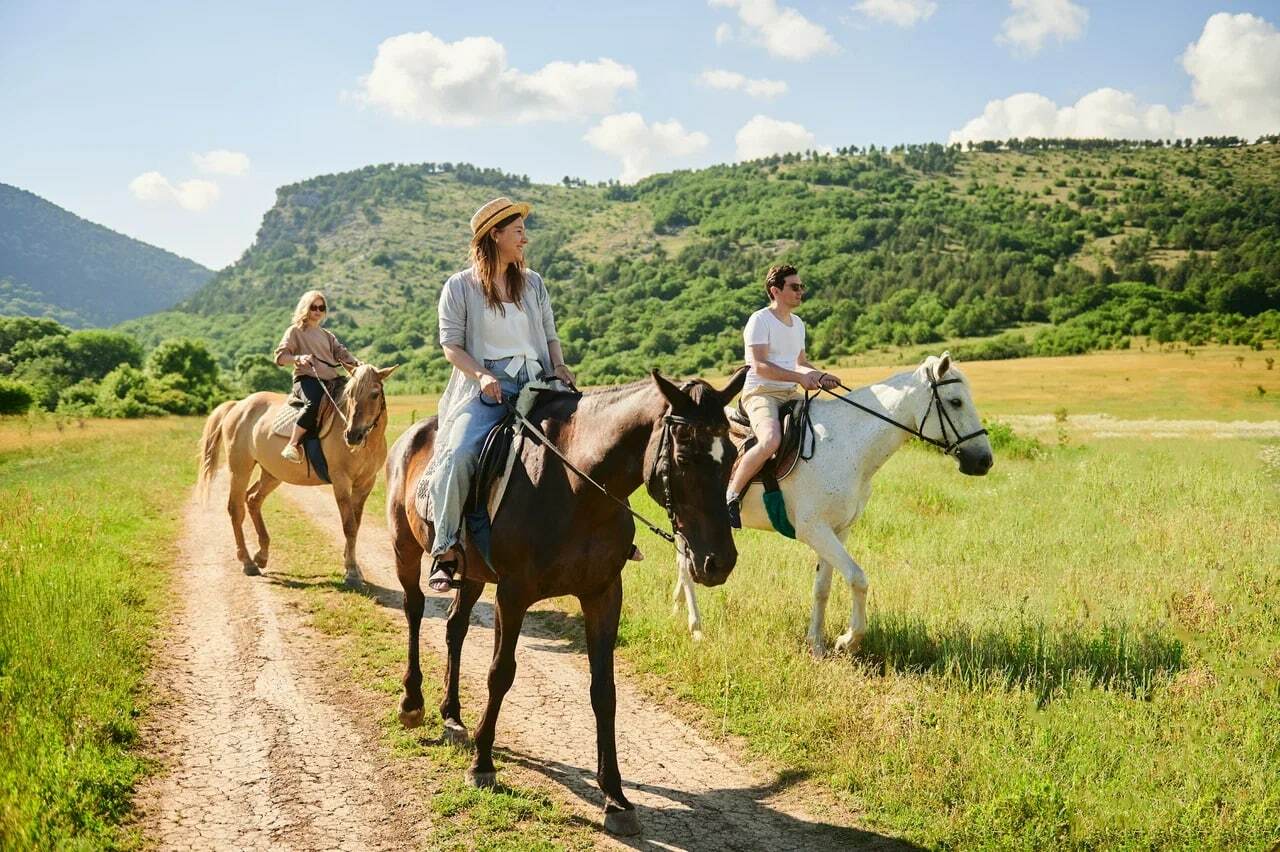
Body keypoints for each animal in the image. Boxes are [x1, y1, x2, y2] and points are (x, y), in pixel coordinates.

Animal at [194, 358, 391, 583]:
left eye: (374, 394)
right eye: (349, 394)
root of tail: (238, 405)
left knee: (252, 499)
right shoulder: (341, 481)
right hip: (240, 470)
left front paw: (353, 565)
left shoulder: (366, 483)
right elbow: (349, 525)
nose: (352, 435)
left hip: (271, 474)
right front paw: (351, 571)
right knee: (236, 509)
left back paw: (261, 556)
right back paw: (248, 562)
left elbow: (356, 525)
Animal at [386, 368, 747, 834]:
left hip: (472, 576)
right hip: (405, 549)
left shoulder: (603, 593)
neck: (577, 488)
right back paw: (412, 704)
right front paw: (483, 765)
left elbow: (604, 691)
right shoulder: (513, 593)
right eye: (684, 458)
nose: (718, 562)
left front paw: (615, 797)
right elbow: (500, 674)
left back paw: (452, 715)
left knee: (455, 627)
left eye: (733, 453)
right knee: (414, 611)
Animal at [675, 350, 993, 654]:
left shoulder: (839, 530)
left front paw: (817, 643)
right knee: (686, 565)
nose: (984, 461)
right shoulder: (814, 530)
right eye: (955, 402)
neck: (847, 445)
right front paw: (848, 640)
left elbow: (822, 587)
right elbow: (857, 578)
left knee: (684, 562)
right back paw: (696, 628)